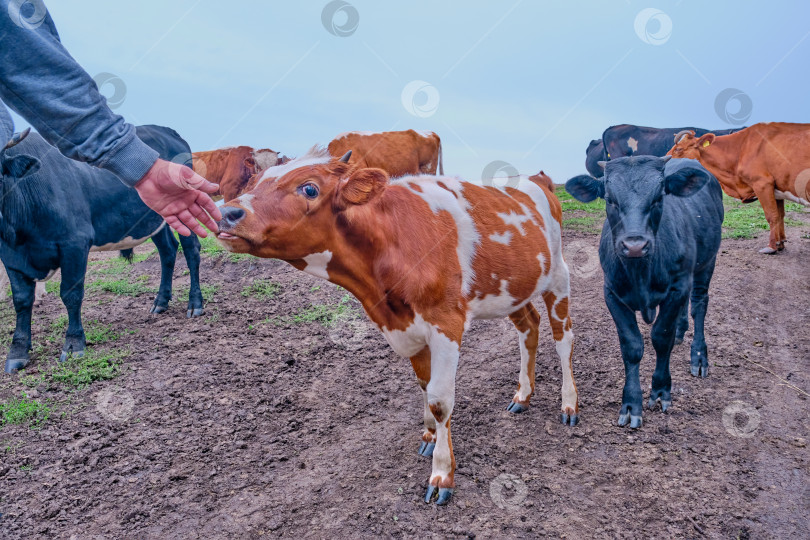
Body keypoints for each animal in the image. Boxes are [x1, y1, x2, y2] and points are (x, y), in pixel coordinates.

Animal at [1, 124, 204, 374]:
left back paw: (195, 304)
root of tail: (164, 130)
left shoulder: (75, 244)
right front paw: (17, 352)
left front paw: (73, 344)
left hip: (184, 209)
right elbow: (21, 301)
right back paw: (160, 302)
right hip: (154, 218)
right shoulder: (11, 256)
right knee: (168, 251)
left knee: (191, 250)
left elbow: (71, 294)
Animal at [215, 151, 576, 506]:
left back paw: (569, 404)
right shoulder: (406, 328)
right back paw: (523, 395)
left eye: (309, 189)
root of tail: (537, 178)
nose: (226, 212)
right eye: (255, 182)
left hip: (558, 276)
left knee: (563, 339)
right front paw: (429, 435)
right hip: (515, 290)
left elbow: (440, 399)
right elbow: (424, 385)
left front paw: (442, 474)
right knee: (528, 327)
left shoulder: (446, 323)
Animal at [564, 157, 724, 430]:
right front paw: (631, 404)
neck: (640, 272)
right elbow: (631, 346)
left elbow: (661, 337)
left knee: (699, 305)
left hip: (706, 263)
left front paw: (660, 391)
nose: (635, 245)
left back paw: (699, 357)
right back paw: (681, 332)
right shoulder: (612, 293)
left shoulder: (677, 286)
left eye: (659, 197)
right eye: (609, 199)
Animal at [664, 123, 808, 254]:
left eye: (678, 149)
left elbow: (771, 215)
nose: (663, 161)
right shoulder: (777, 190)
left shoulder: (762, 184)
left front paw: (771, 247)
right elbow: (780, 215)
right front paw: (780, 244)